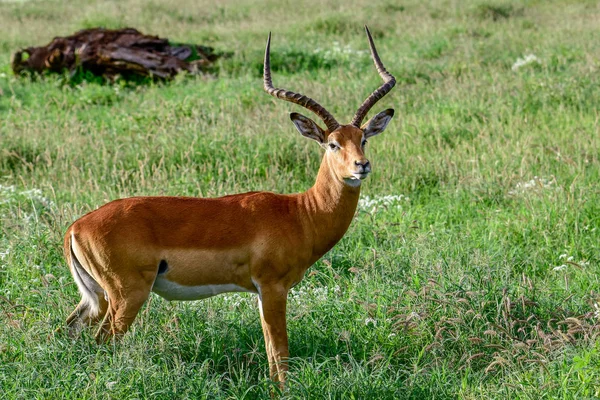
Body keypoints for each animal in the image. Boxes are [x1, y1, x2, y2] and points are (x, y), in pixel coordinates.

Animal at [63, 27, 396, 388]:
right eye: (333, 144)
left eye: (363, 139)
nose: (362, 166)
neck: (300, 213)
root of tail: (76, 227)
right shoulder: (272, 288)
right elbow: (280, 351)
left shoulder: (260, 293)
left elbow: (271, 351)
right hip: (128, 295)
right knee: (102, 340)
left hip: (96, 298)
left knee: (70, 329)